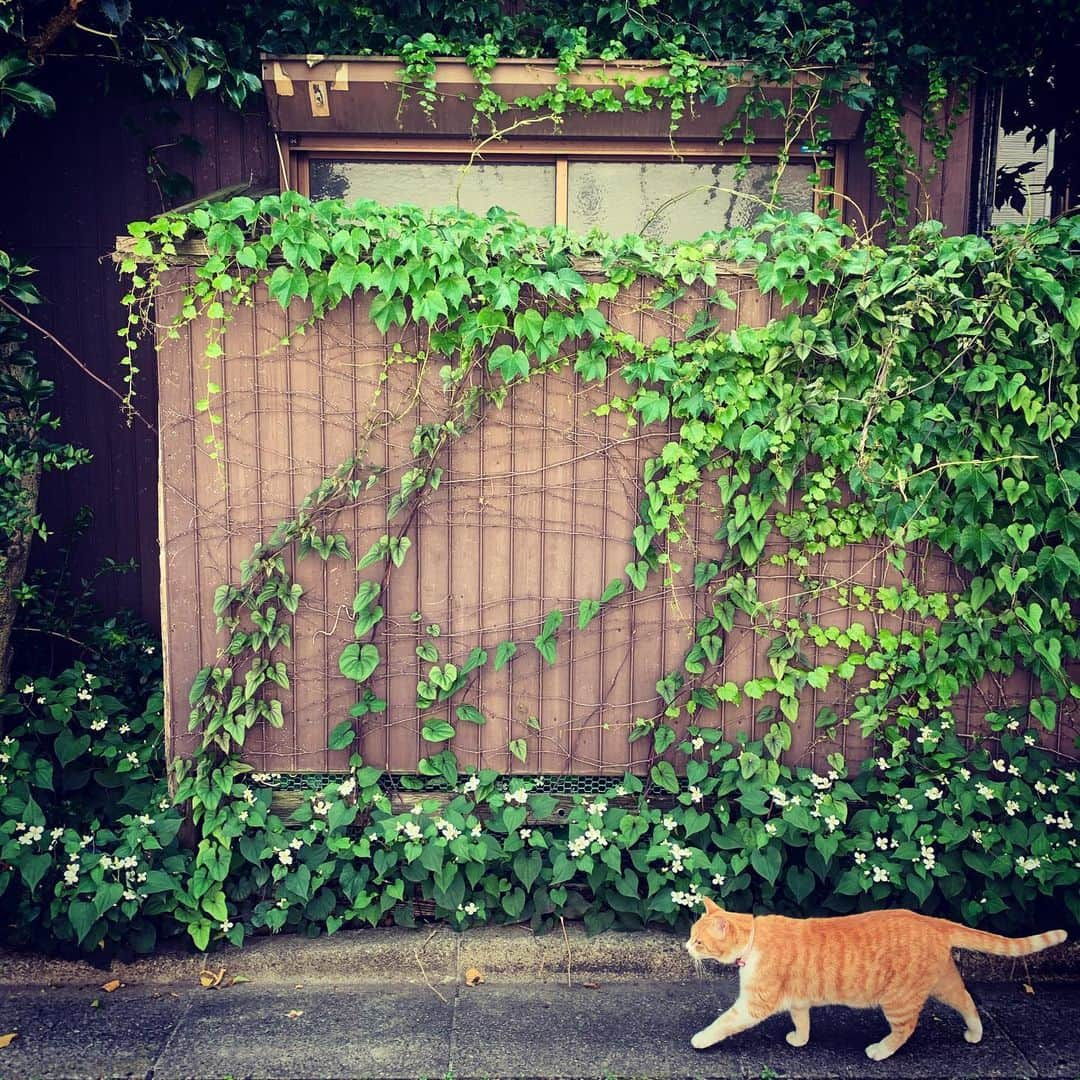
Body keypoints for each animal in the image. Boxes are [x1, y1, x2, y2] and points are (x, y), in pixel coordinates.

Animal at [682, 894, 1062, 1062]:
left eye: (698, 941)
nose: (686, 947)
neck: (753, 940)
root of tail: (929, 919)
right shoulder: (799, 999)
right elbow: (802, 1020)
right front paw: (800, 1040)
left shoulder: (754, 1004)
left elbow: (723, 1022)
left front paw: (700, 1039)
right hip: (944, 983)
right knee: (968, 1000)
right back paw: (975, 1032)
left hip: (898, 1000)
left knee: (906, 1030)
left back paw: (880, 1050)